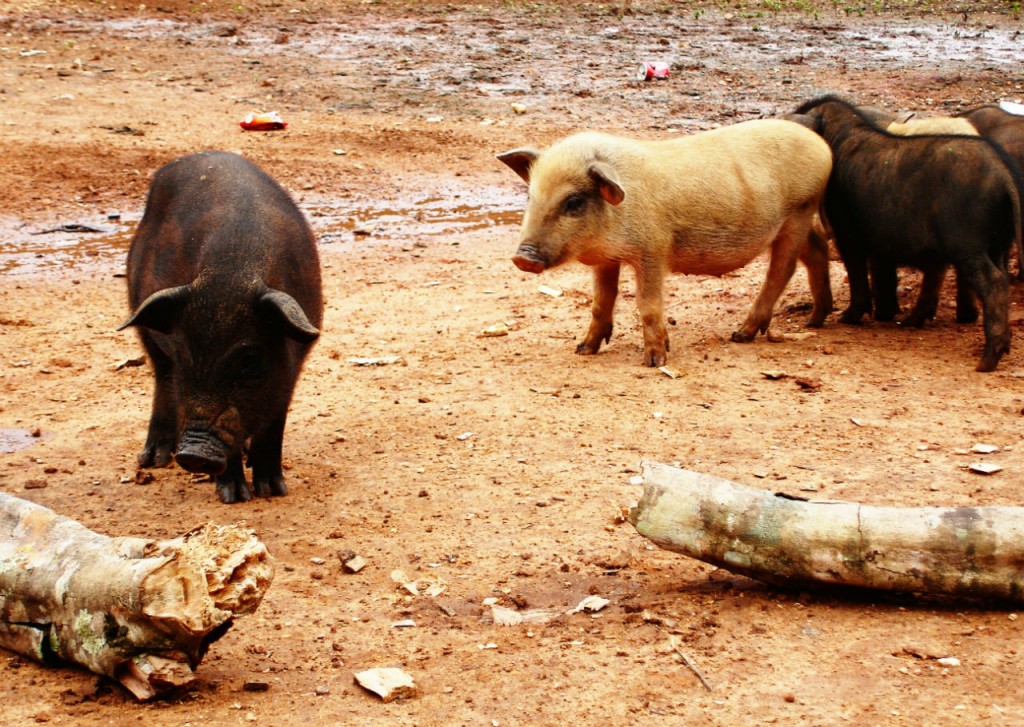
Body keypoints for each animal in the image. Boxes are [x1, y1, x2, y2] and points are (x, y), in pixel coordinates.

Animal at [118, 152, 323, 507]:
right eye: (185, 354)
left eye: (249, 360)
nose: (193, 454)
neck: (233, 271)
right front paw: (235, 497)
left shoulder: (292, 366)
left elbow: (275, 423)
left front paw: (273, 491)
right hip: (140, 312)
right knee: (162, 379)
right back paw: (153, 461)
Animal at [493, 123, 831, 370]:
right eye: (530, 195)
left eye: (573, 201)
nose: (522, 258)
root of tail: (822, 146)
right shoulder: (607, 259)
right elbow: (601, 301)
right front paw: (583, 350)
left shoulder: (653, 250)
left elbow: (647, 304)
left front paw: (654, 362)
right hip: (800, 223)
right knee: (816, 251)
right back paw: (816, 319)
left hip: (798, 214)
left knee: (783, 269)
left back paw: (740, 335)